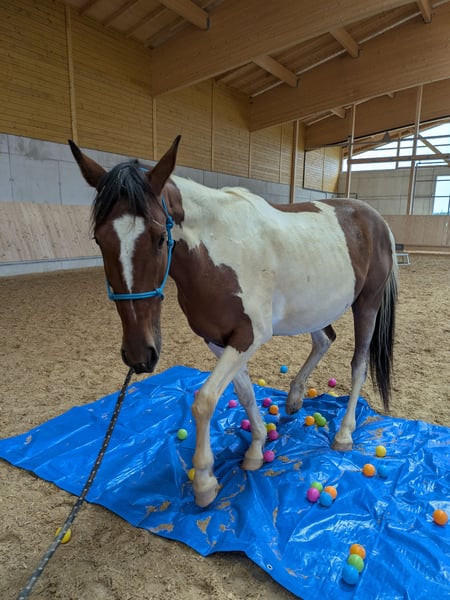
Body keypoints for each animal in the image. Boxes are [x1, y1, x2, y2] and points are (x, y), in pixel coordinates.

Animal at [69, 136, 398, 508]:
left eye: (158, 237)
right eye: (99, 239)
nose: (140, 356)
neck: (217, 250)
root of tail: (376, 219)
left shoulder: (248, 337)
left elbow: (205, 401)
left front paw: (205, 481)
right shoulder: (218, 339)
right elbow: (244, 393)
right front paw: (256, 448)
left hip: (367, 305)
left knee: (359, 365)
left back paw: (343, 433)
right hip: (317, 308)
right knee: (324, 339)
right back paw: (295, 398)